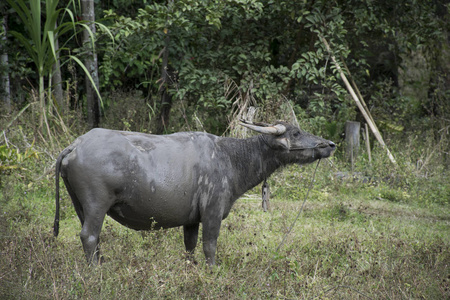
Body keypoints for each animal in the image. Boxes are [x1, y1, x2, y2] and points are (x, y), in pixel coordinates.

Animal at [53, 120, 334, 264]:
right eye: (296, 132)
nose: (329, 144)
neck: (230, 158)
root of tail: (76, 145)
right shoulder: (212, 212)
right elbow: (210, 245)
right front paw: (212, 269)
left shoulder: (191, 220)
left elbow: (189, 245)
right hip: (96, 204)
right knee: (89, 236)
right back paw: (95, 269)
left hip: (80, 206)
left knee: (94, 236)